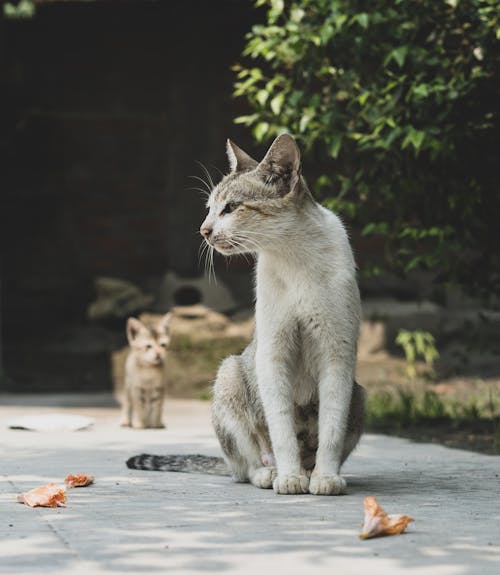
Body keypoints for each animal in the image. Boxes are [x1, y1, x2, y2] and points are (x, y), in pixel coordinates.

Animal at [127, 135, 366, 496]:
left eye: (231, 207)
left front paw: (324, 478)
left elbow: (331, 429)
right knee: (245, 465)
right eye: (210, 208)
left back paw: (310, 472)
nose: (204, 230)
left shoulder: (337, 353)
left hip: (361, 394)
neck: (295, 257)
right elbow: (281, 430)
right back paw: (272, 473)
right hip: (228, 376)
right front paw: (289, 478)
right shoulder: (273, 352)